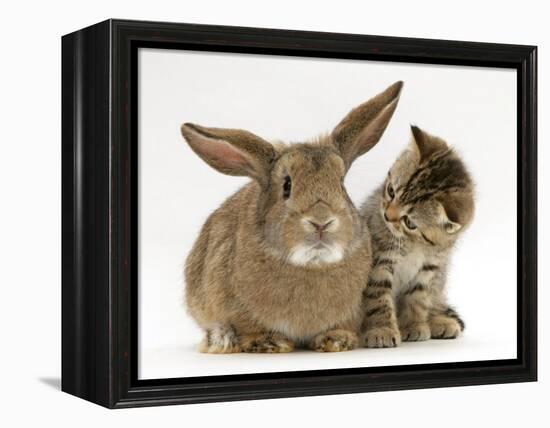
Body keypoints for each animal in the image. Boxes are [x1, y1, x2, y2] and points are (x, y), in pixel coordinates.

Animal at [182, 81, 406, 354]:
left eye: (341, 184)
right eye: (287, 185)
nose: (321, 222)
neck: (312, 263)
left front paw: (337, 340)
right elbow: (249, 329)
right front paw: (269, 342)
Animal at [362, 126, 474, 348]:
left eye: (410, 222)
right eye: (391, 191)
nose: (387, 216)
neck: (415, 245)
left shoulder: (430, 268)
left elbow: (418, 299)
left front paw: (413, 326)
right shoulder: (379, 261)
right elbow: (378, 297)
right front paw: (382, 330)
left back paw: (440, 321)